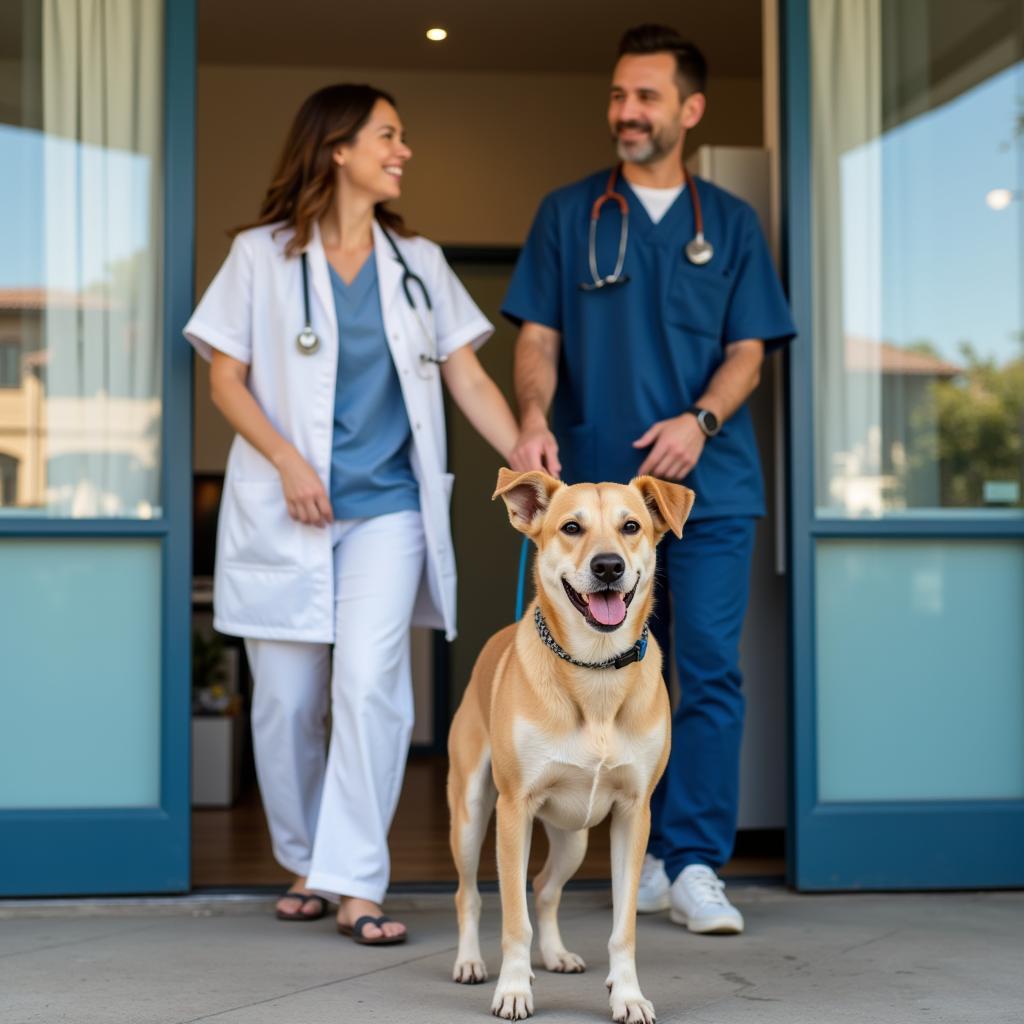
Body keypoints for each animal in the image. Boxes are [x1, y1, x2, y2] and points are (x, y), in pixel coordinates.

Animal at [444, 471, 692, 1024]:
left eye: (631, 526)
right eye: (571, 527)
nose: (608, 566)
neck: (595, 672)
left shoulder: (634, 814)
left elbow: (623, 927)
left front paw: (627, 995)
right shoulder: (514, 811)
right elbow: (513, 920)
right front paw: (514, 990)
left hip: (574, 838)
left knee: (544, 888)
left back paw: (556, 954)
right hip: (470, 815)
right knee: (468, 895)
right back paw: (469, 961)